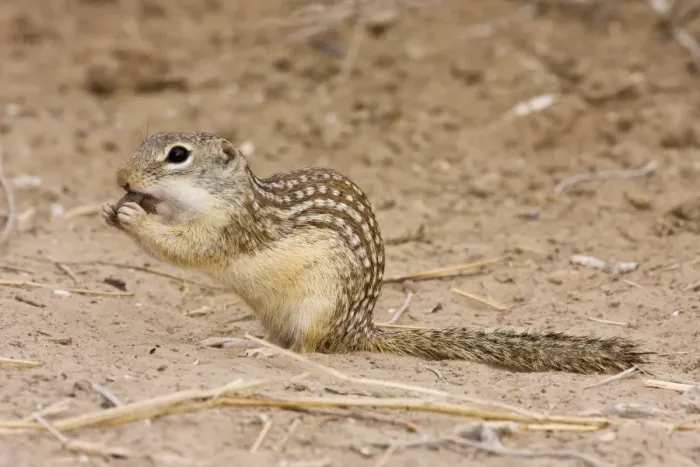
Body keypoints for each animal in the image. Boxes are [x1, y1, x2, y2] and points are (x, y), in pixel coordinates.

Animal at [102, 132, 650, 374]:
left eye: (177, 155)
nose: (121, 179)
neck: (230, 194)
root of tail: (358, 330)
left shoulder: (226, 229)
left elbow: (185, 248)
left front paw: (133, 218)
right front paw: (118, 207)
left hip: (317, 304)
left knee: (305, 350)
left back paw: (260, 349)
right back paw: (235, 339)